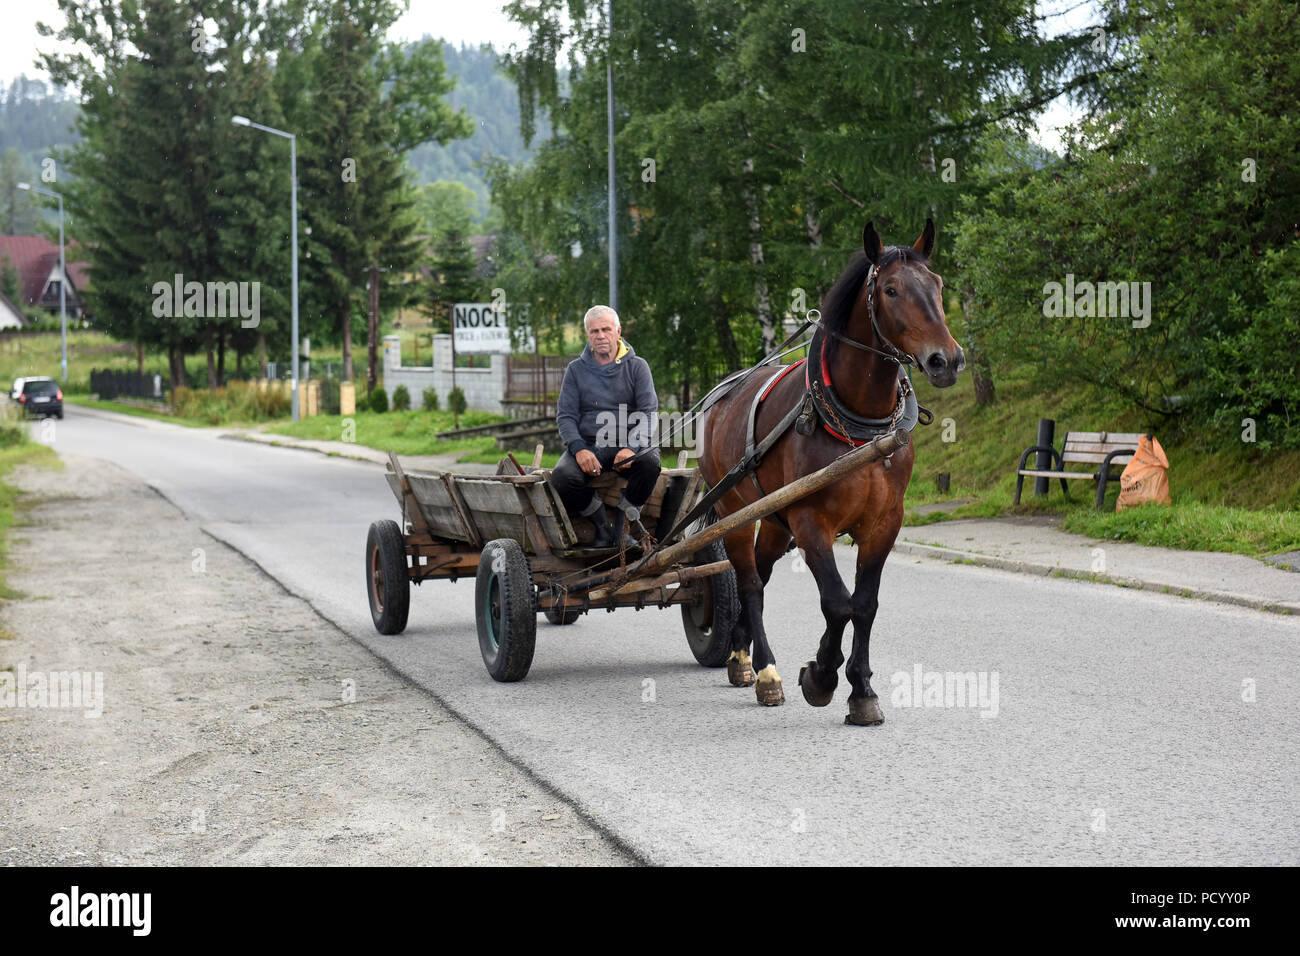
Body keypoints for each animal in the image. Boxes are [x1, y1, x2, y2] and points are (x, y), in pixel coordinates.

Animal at [702, 217, 967, 723]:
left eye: (938, 284)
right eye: (890, 290)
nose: (947, 360)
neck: (860, 426)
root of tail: (722, 394)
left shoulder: (884, 524)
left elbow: (863, 605)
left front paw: (861, 689)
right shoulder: (810, 522)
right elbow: (836, 602)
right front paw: (821, 674)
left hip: (773, 520)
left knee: (762, 576)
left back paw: (741, 656)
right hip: (735, 514)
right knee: (749, 584)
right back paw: (766, 671)